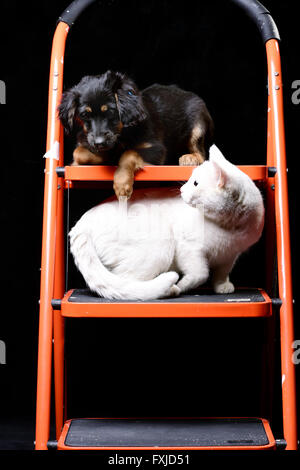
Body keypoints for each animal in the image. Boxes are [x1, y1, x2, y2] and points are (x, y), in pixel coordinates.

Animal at [58, 70, 213, 198]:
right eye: (84, 115)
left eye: (110, 112)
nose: (99, 143)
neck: (123, 134)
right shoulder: (86, 140)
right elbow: (78, 152)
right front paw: (104, 157)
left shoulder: (157, 149)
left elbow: (129, 153)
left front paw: (121, 183)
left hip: (197, 124)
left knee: (201, 153)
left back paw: (190, 158)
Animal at [69, 146, 264, 302]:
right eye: (191, 179)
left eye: (195, 183)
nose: (182, 190)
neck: (230, 227)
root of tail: (81, 224)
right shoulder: (189, 248)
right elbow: (200, 274)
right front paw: (183, 285)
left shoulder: (230, 255)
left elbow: (222, 273)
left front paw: (222, 286)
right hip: (161, 248)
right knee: (128, 282)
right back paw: (169, 290)